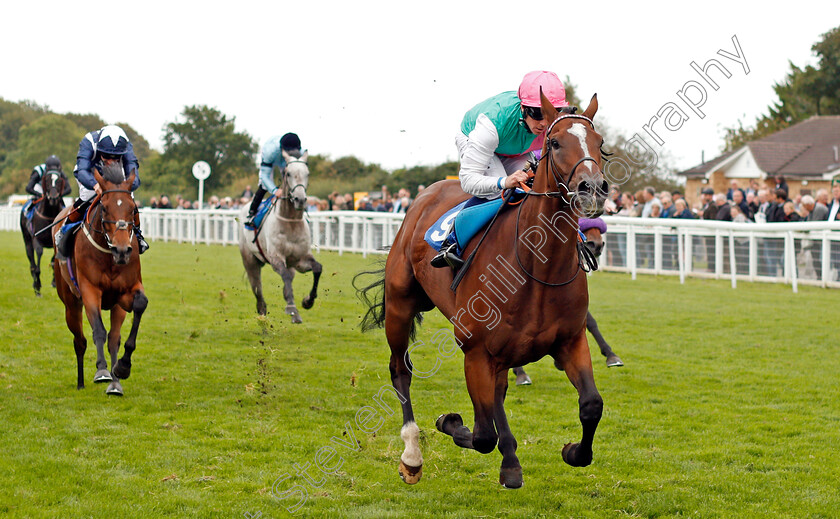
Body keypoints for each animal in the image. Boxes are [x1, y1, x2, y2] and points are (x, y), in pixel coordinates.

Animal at [52, 165, 148, 396]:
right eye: (103, 208)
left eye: (133, 208)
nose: (122, 250)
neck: (109, 256)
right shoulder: (90, 290)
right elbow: (98, 331)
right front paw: (102, 371)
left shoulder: (125, 294)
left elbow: (123, 327)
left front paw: (121, 369)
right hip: (70, 303)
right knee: (79, 341)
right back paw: (80, 382)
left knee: (111, 338)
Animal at [240, 148, 324, 322]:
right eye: (288, 173)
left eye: (307, 173)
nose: (300, 199)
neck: (291, 223)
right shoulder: (275, 257)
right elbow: (284, 275)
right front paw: (293, 308)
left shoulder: (300, 260)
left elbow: (317, 268)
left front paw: (307, 301)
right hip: (249, 260)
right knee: (257, 288)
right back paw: (262, 311)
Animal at [358, 93, 608, 488]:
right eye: (554, 143)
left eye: (600, 143)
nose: (592, 189)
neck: (537, 267)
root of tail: (424, 195)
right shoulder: (475, 351)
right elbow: (481, 435)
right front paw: (449, 421)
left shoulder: (570, 342)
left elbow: (591, 405)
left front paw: (571, 451)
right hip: (400, 305)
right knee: (400, 369)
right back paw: (412, 455)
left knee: (498, 395)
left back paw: (510, 460)